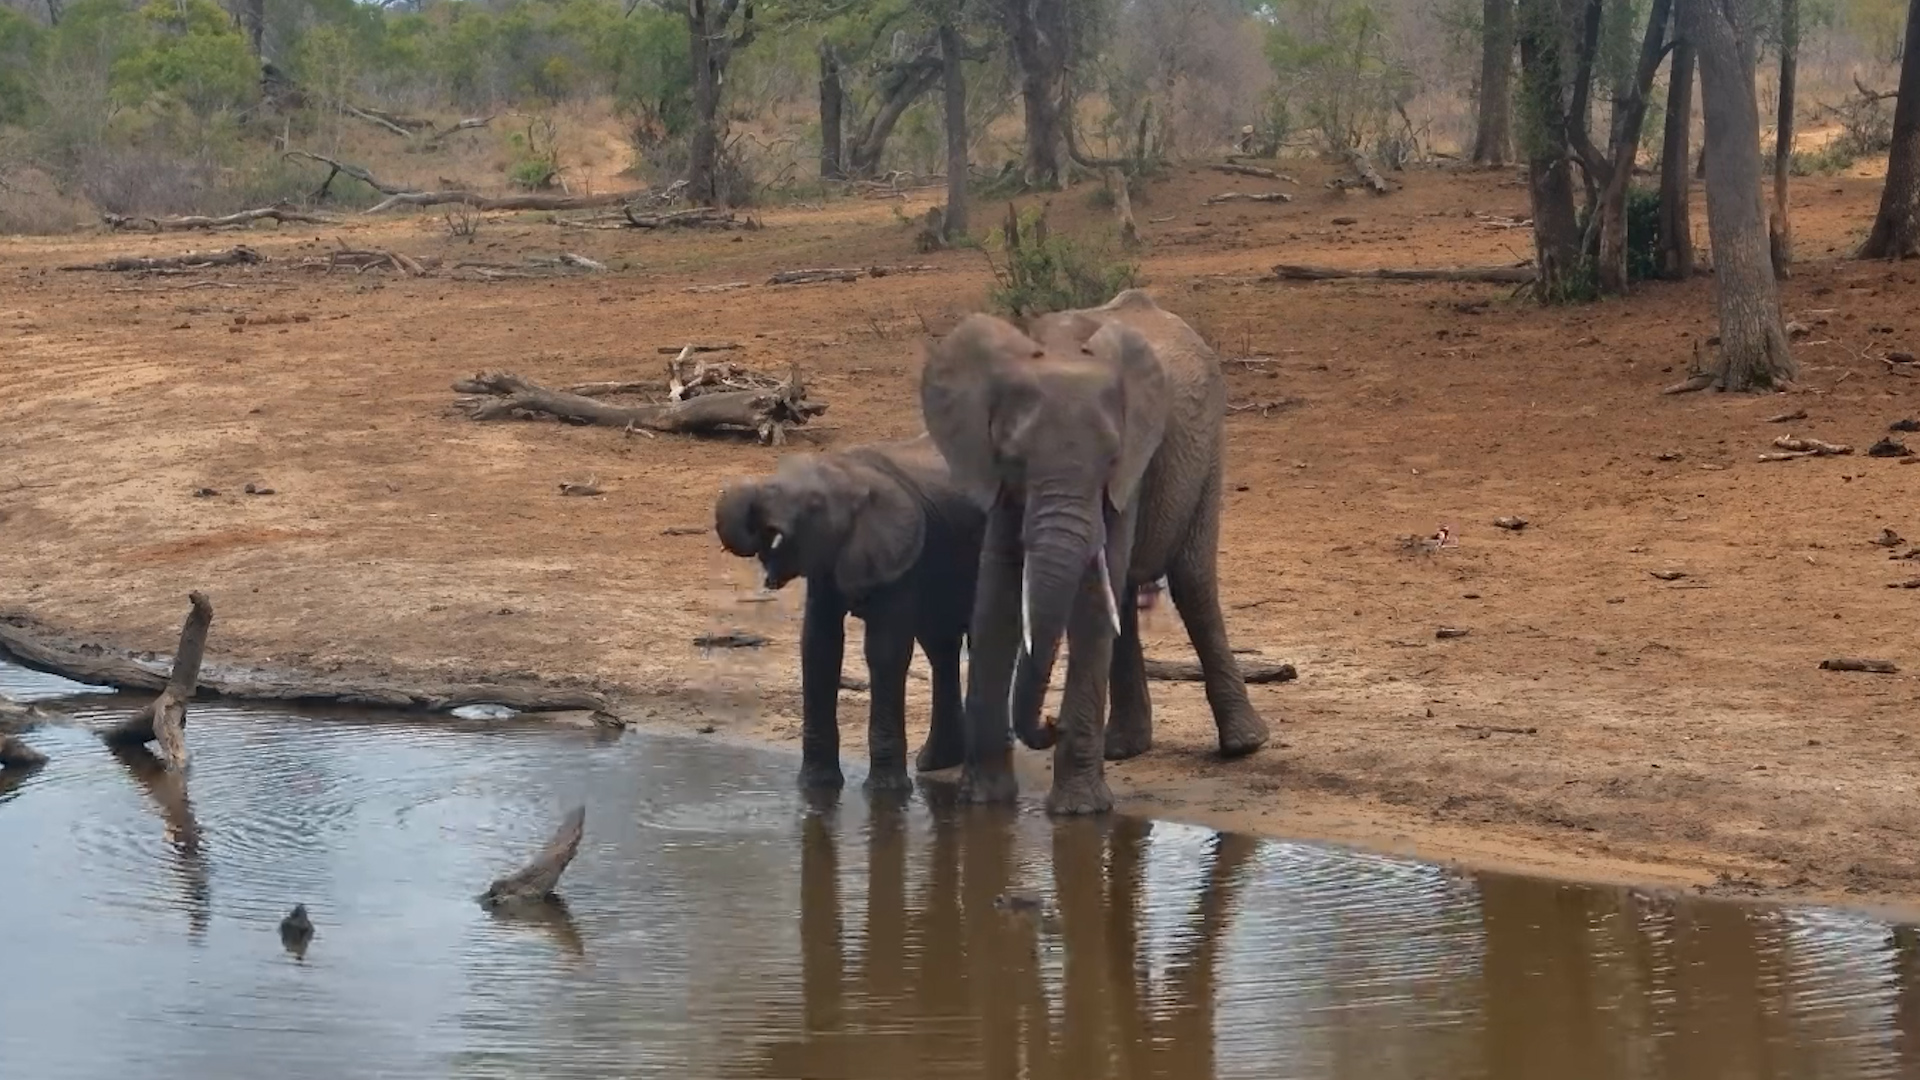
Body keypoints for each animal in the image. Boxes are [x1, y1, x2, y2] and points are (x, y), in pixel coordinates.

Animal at [713, 434, 985, 794]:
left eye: (815, 504)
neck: (850, 476)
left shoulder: (901, 559)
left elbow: (885, 650)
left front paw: (886, 793)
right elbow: (819, 645)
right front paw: (816, 788)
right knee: (940, 645)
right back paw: (934, 763)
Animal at [919, 288, 1270, 814]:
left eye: (1109, 458)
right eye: (1014, 458)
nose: (1048, 725)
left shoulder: (1131, 468)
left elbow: (1084, 598)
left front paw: (1079, 811)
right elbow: (996, 591)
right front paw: (981, 803)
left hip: (1208, 449)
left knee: (1192, 583)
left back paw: (1245, 745)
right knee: (1121, 593)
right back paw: (1123, 748)